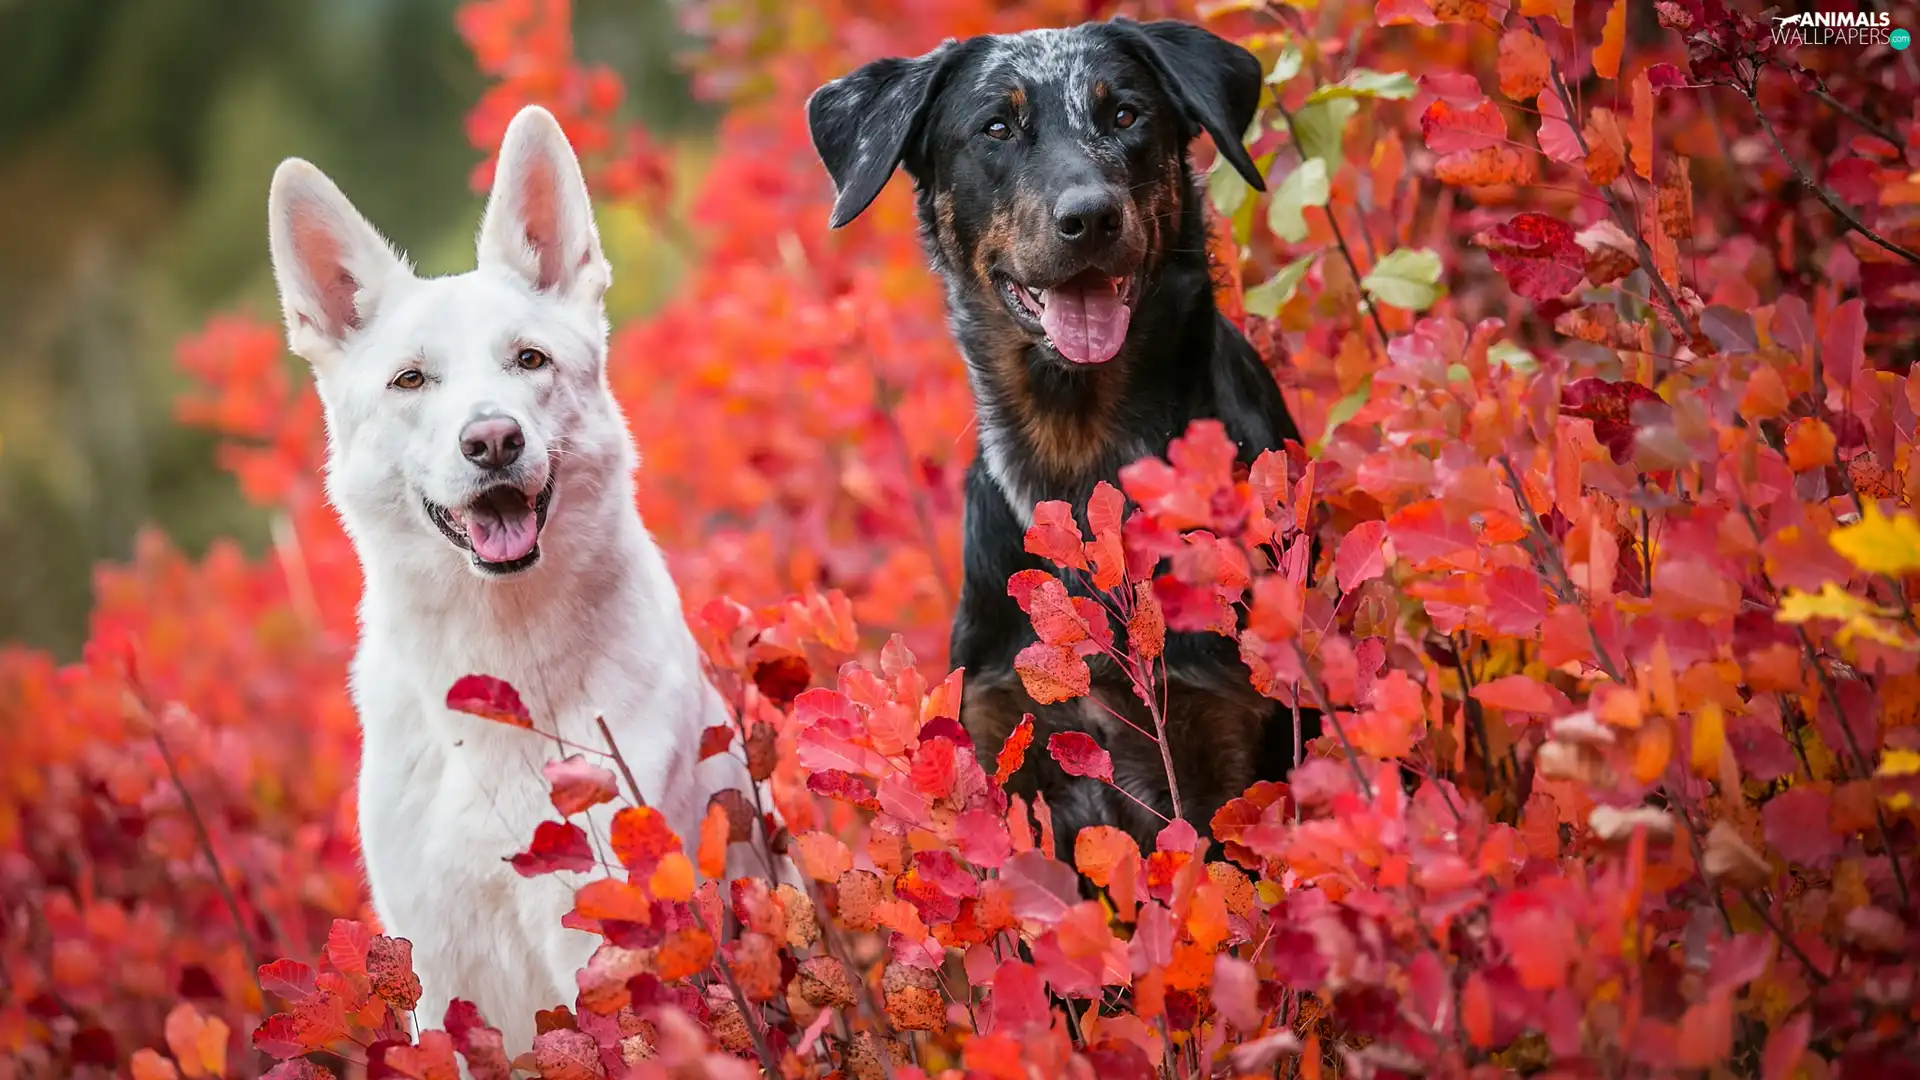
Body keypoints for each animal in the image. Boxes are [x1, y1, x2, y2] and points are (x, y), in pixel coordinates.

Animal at [264, 102, 771, 1053]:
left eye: (529, 361)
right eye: (411, 380)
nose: (493, 440)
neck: (497, 676)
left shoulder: (604, 940)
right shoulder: (438, 974)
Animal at [810, 18, 1320, 857]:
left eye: (1125, 116)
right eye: (996, 127)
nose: (1091, 217)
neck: (1076, 452)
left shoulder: (1225, 755)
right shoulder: (1005, 757)